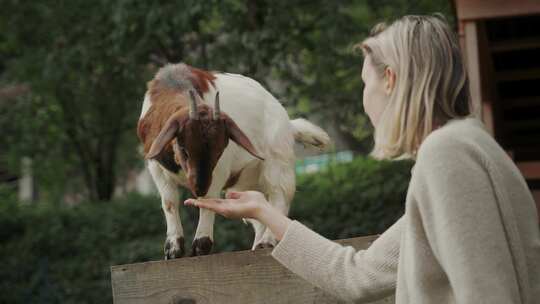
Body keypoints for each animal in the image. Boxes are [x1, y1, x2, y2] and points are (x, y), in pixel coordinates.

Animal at [137, 63, 332, 258]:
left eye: (219, 151)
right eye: (184, 150)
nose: (199, 188)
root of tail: (288, 123)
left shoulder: (219, 170)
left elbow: (207, 201)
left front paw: (201, 245)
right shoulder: (156, 168)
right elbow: (169, 202)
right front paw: (173, 249)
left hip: (277, 159)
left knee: (279, 196)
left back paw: (266, 242)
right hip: (245, 182)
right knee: (258, 211)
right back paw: (257, 244)